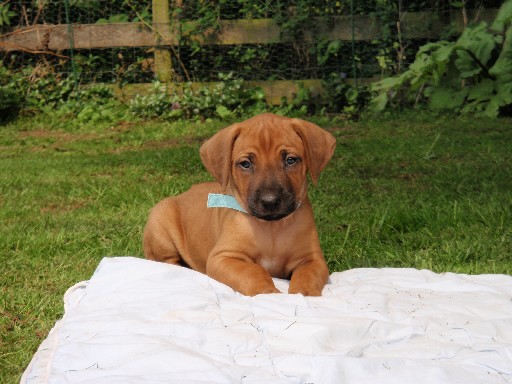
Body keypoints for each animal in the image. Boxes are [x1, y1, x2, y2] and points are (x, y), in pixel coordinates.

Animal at [143, 112, 336, 296]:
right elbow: (252, 271)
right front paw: (267, 292)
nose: (270, 201)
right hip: (160, 222)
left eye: (290, 160)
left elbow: (307, 275)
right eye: (245, 164)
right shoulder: (223, 257)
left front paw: (303, 294)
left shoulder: (312, 259)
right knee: (166, 262)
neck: (272, 228)